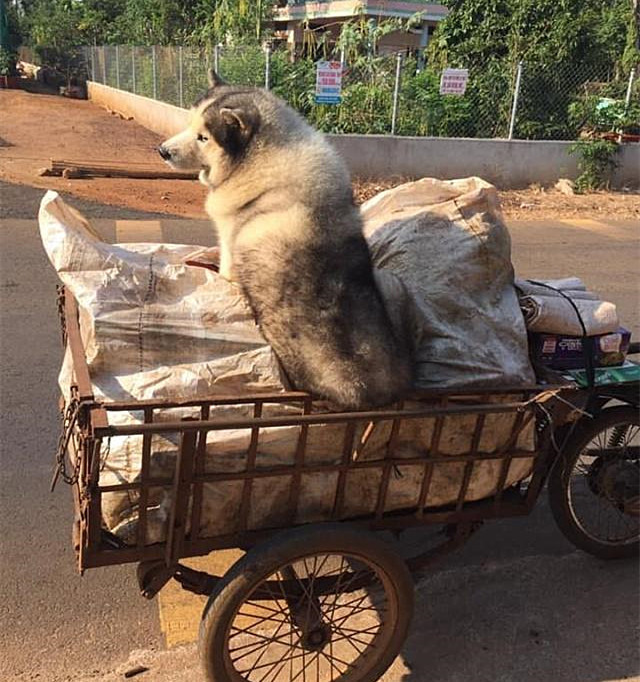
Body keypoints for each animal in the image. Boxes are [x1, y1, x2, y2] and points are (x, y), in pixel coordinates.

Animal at [158, 71, 412, 406]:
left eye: (203, 137)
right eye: (188, 124)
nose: (162, 151)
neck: (262, 155)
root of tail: (376, 393)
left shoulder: (230, 246)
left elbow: (225, 267)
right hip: (392, 284)